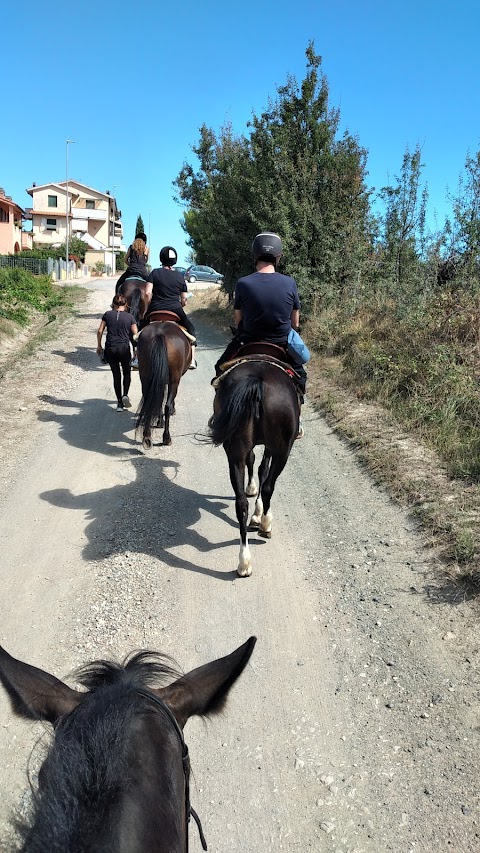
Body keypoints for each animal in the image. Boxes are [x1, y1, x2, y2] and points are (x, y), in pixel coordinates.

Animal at [136, 312, 192, 446]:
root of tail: (160, 334)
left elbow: (158, 398)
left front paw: (159, 421)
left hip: (145, 375)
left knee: (149, 400)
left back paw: (147, 437)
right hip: (174, 379)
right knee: (167, 404)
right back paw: (167, 437)